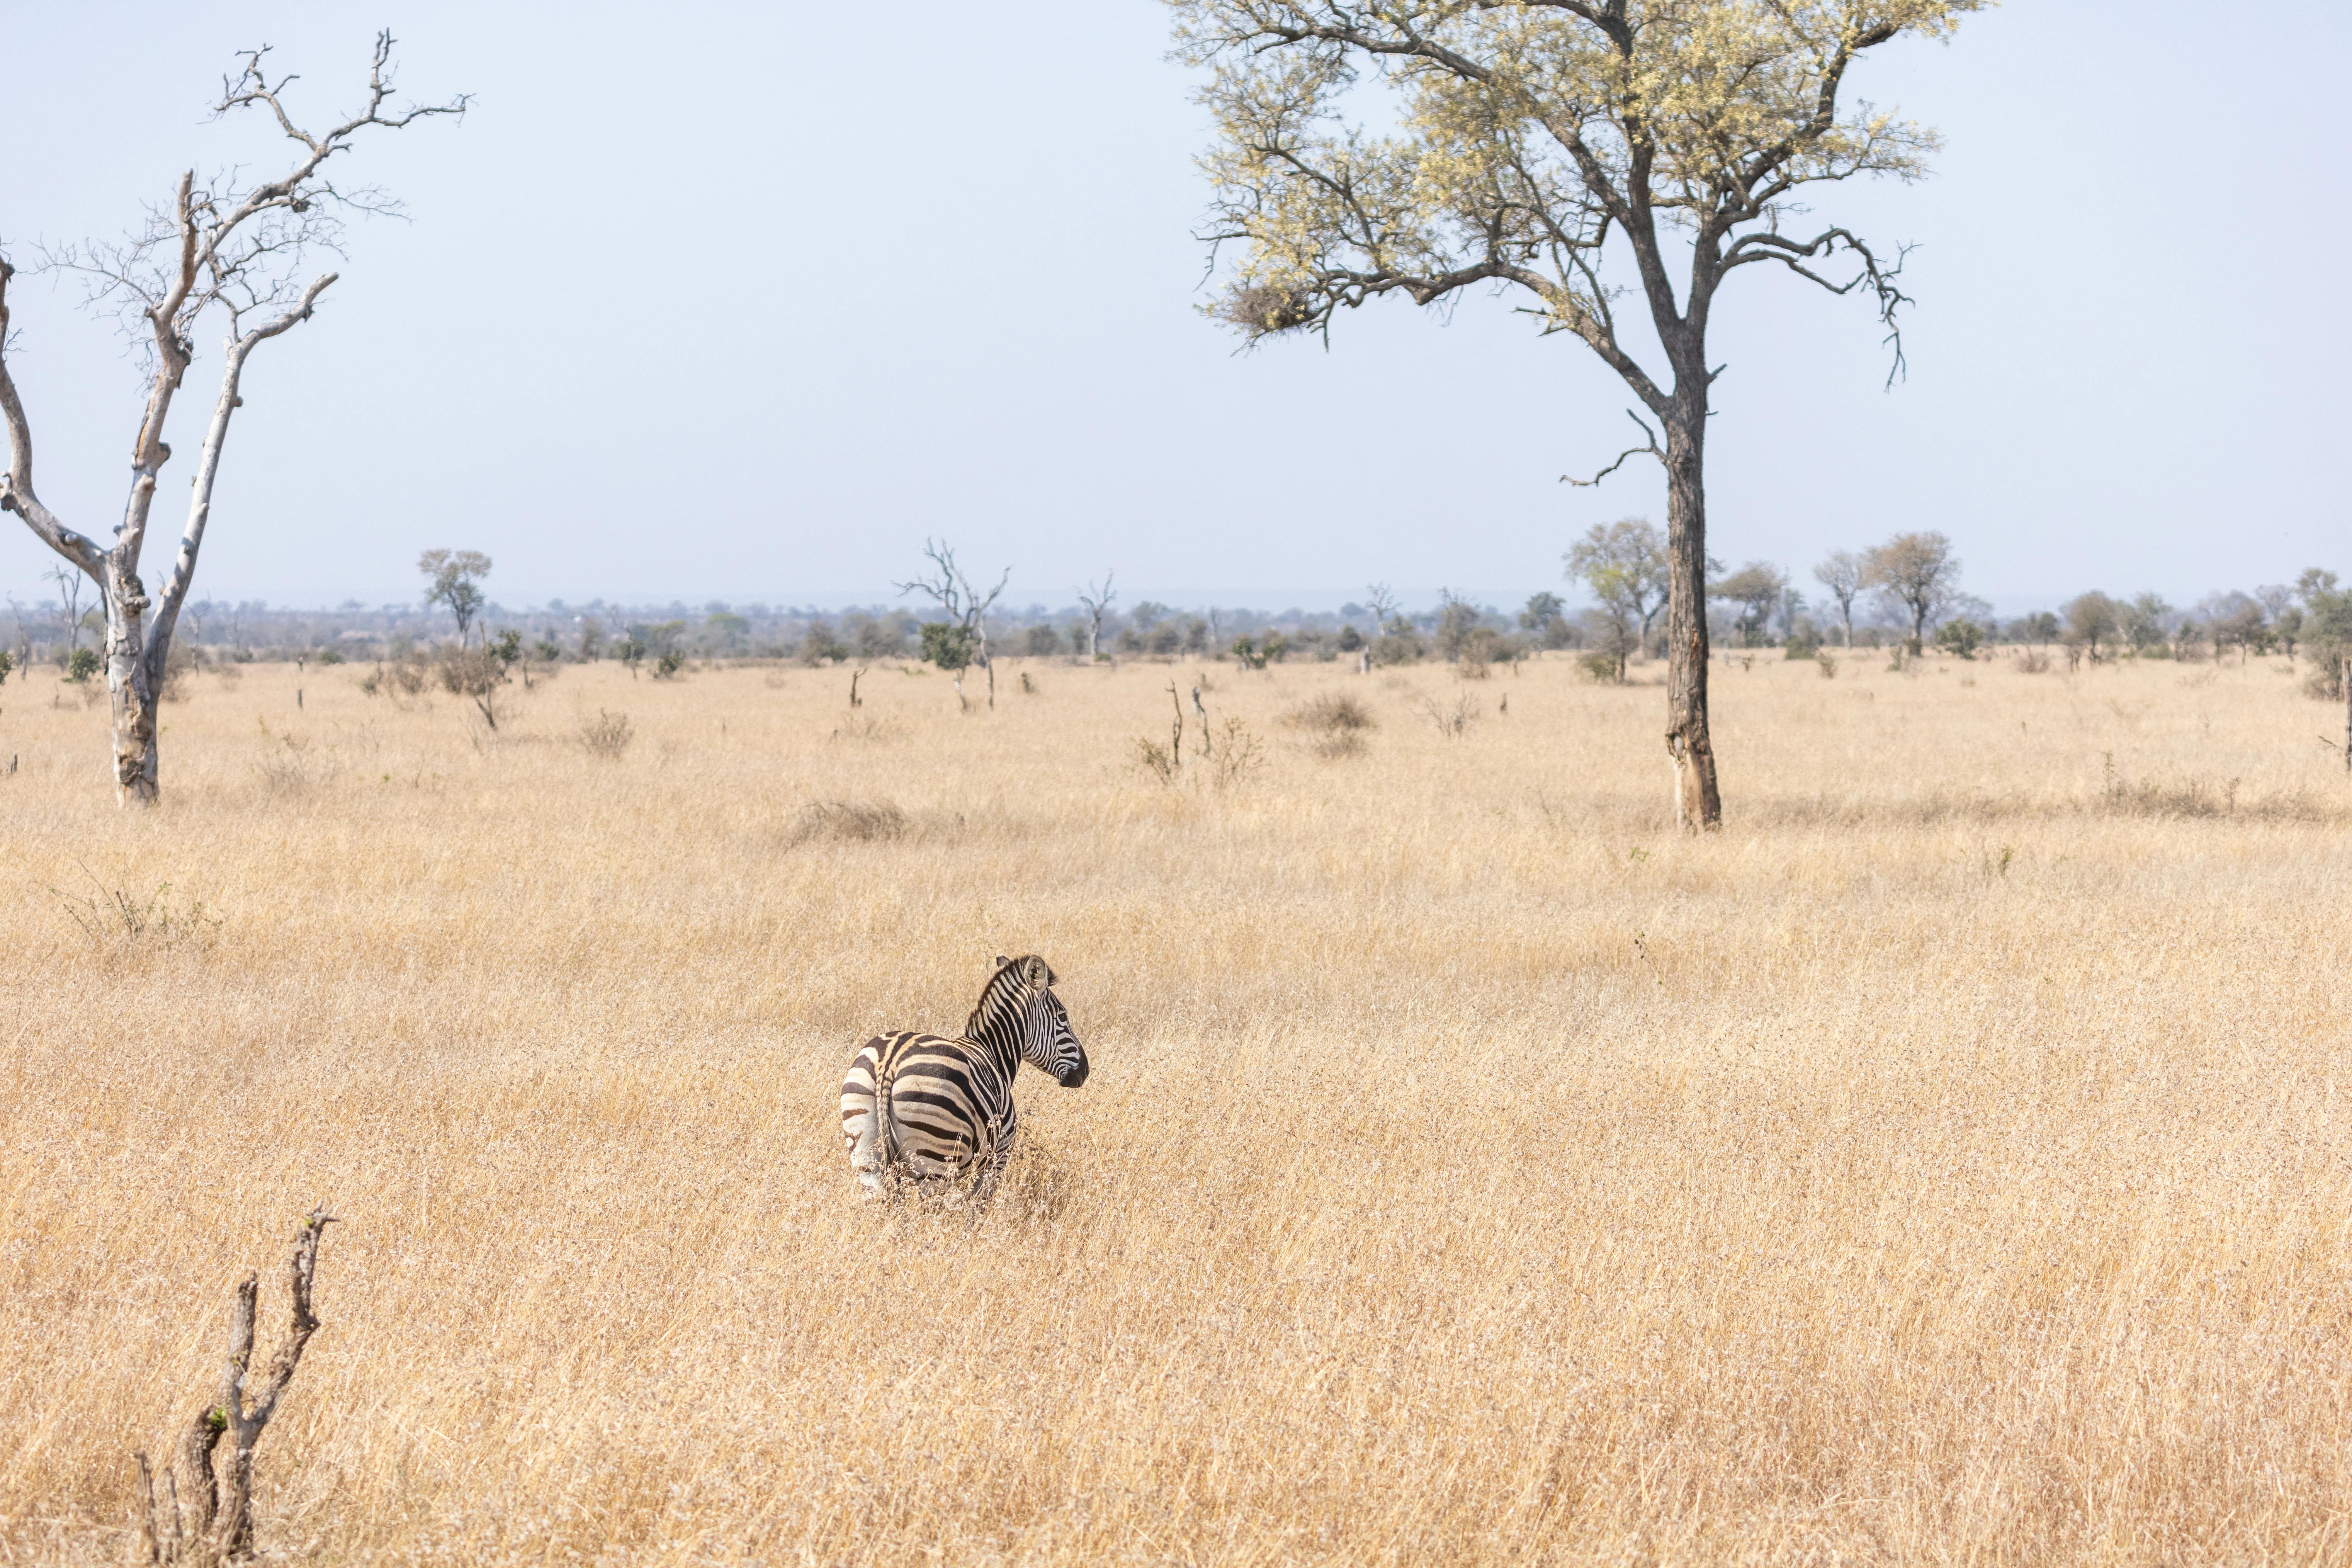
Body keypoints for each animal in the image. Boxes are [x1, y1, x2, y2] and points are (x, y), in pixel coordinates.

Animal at [842, 959, 1086, 1203]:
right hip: (935, 1165)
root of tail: (890, 1062)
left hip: (867, 1159)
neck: (991, 1051)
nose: (1085, 1070)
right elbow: (978, 1206)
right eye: (1063, 1017)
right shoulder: (996, 1160)